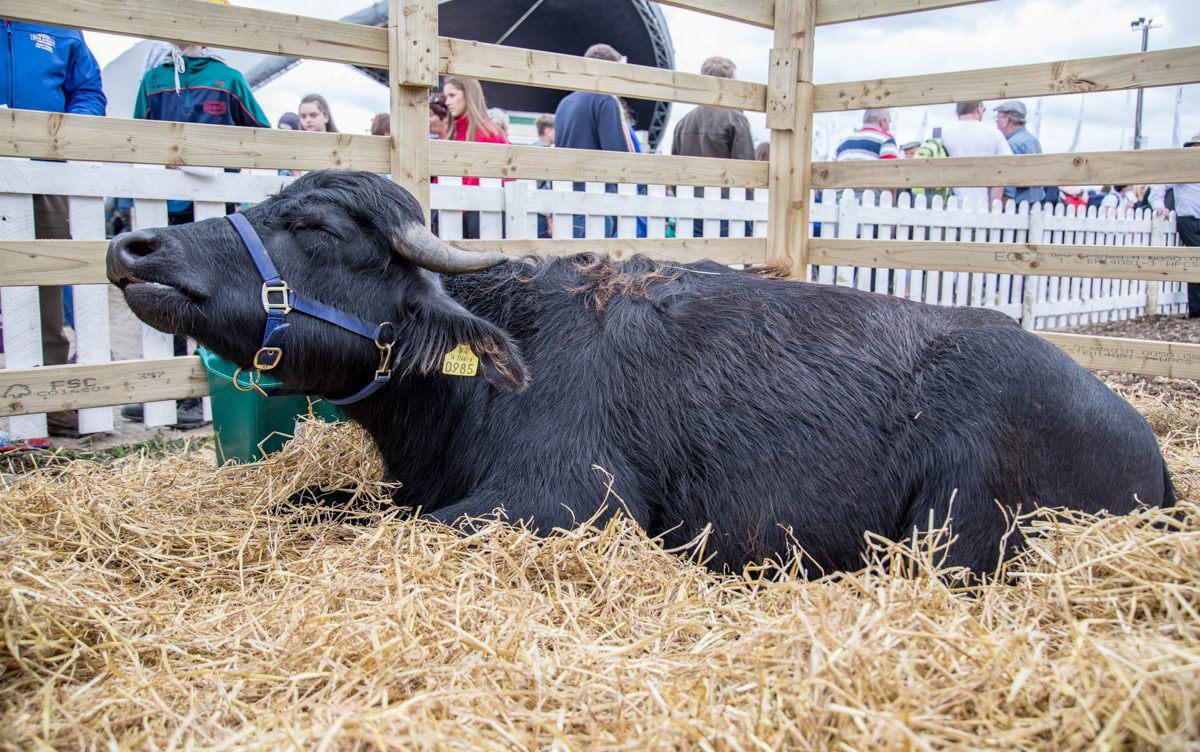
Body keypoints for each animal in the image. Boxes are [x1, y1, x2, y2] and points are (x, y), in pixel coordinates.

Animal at [106, 169, 1173, 574]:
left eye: (319, 229)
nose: (134, 245)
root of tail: (1155, 459)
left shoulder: (561, 501)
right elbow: (313, 506)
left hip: (952, 524)